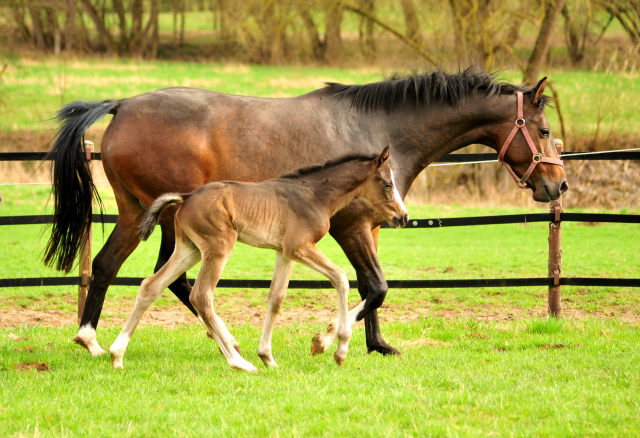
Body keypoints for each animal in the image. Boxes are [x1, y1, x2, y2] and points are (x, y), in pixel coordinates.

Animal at [110, 147, 408, 370]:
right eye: (387, 184)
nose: (403, 217)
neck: (314, 195)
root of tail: (186, 197)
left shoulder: (285, 252)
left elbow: (276, 298)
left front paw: (268, 357)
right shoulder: (300, 247)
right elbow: (341, 278)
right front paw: (338, 350)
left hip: (189, 250)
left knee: (151, 285)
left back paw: (116, 355)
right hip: (218, 248)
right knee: (201, 296)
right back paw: (237, 361)